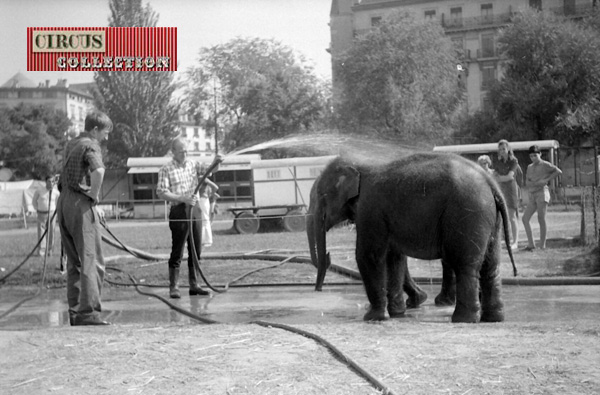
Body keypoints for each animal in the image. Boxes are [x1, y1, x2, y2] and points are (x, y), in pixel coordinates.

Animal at [308, 153, 516, 324]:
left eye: (320, 195)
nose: (318, 290)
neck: (361, 164)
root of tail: (490, 182)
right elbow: (394, 258)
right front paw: (397, 313)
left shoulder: (370, 210)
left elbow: (369, 256)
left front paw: (373, 317)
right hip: (489, 218)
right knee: (491, 265)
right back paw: (493, 318)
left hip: (466, 214)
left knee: (465, 265)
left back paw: (463, 319)